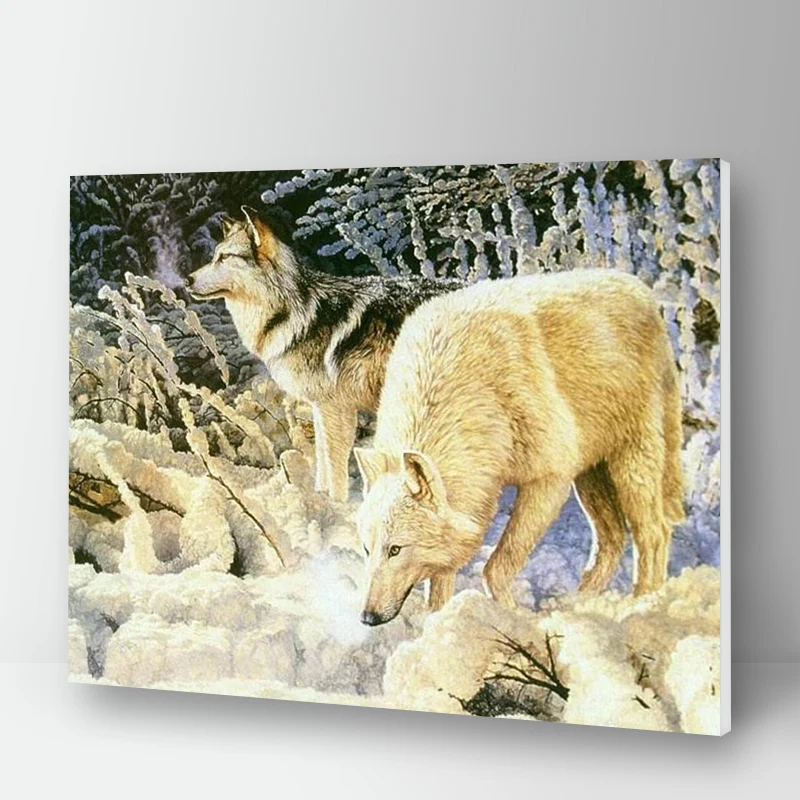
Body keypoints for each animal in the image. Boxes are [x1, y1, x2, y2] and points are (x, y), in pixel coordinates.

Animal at [187, 208, 462, 501]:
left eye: (225, 257)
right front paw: (321, 498)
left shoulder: (337, 410)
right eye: (214, 256)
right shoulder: (320, 408)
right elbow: (322, 463)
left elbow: (336, 468)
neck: (294, 312)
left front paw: (338, 504)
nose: (187, 280)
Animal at [354, 269, 685, 625]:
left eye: (396, 549)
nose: (367, 617)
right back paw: (579, 603)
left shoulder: (550, 481)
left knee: (653, 532)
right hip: (590, 476)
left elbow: (497, 566)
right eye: (367, 548)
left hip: (630, 463)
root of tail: (639, 289)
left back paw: (642, 605)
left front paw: (513, 618)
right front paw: (437, 623)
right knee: (612, 540)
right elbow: (440, 585)